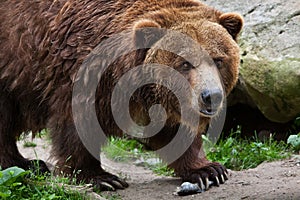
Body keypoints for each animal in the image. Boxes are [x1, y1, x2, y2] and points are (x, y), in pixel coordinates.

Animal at [0, 0, 243, 191]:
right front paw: (101, 177)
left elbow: (176, 130)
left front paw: (209, 169)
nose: (210, 96)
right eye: (184, 63)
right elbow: (76, 124)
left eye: (218, 60)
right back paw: (23, 163)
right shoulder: (80, 72)